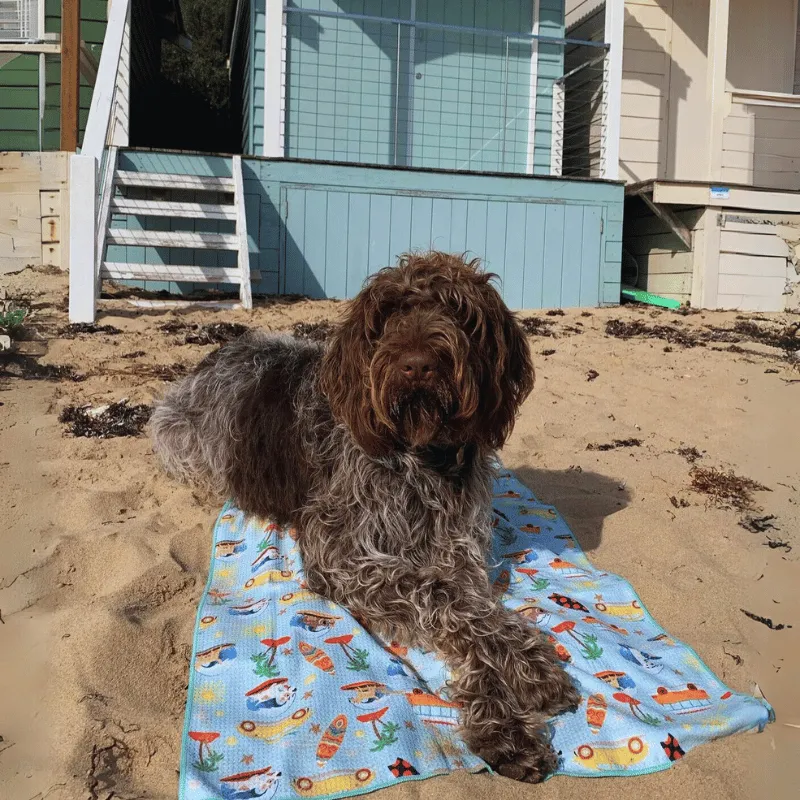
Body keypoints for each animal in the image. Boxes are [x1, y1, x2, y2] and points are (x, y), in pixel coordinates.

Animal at [150, 252, 580, 780]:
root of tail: (222, 350)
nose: (418, 365)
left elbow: (474, 611)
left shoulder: (459, 554)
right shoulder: (343, 558)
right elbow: (440, 596)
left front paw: (519, 685)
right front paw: (510, 709)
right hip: (184, 441)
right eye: (388, 315)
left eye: (458, 311)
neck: (420, 459)